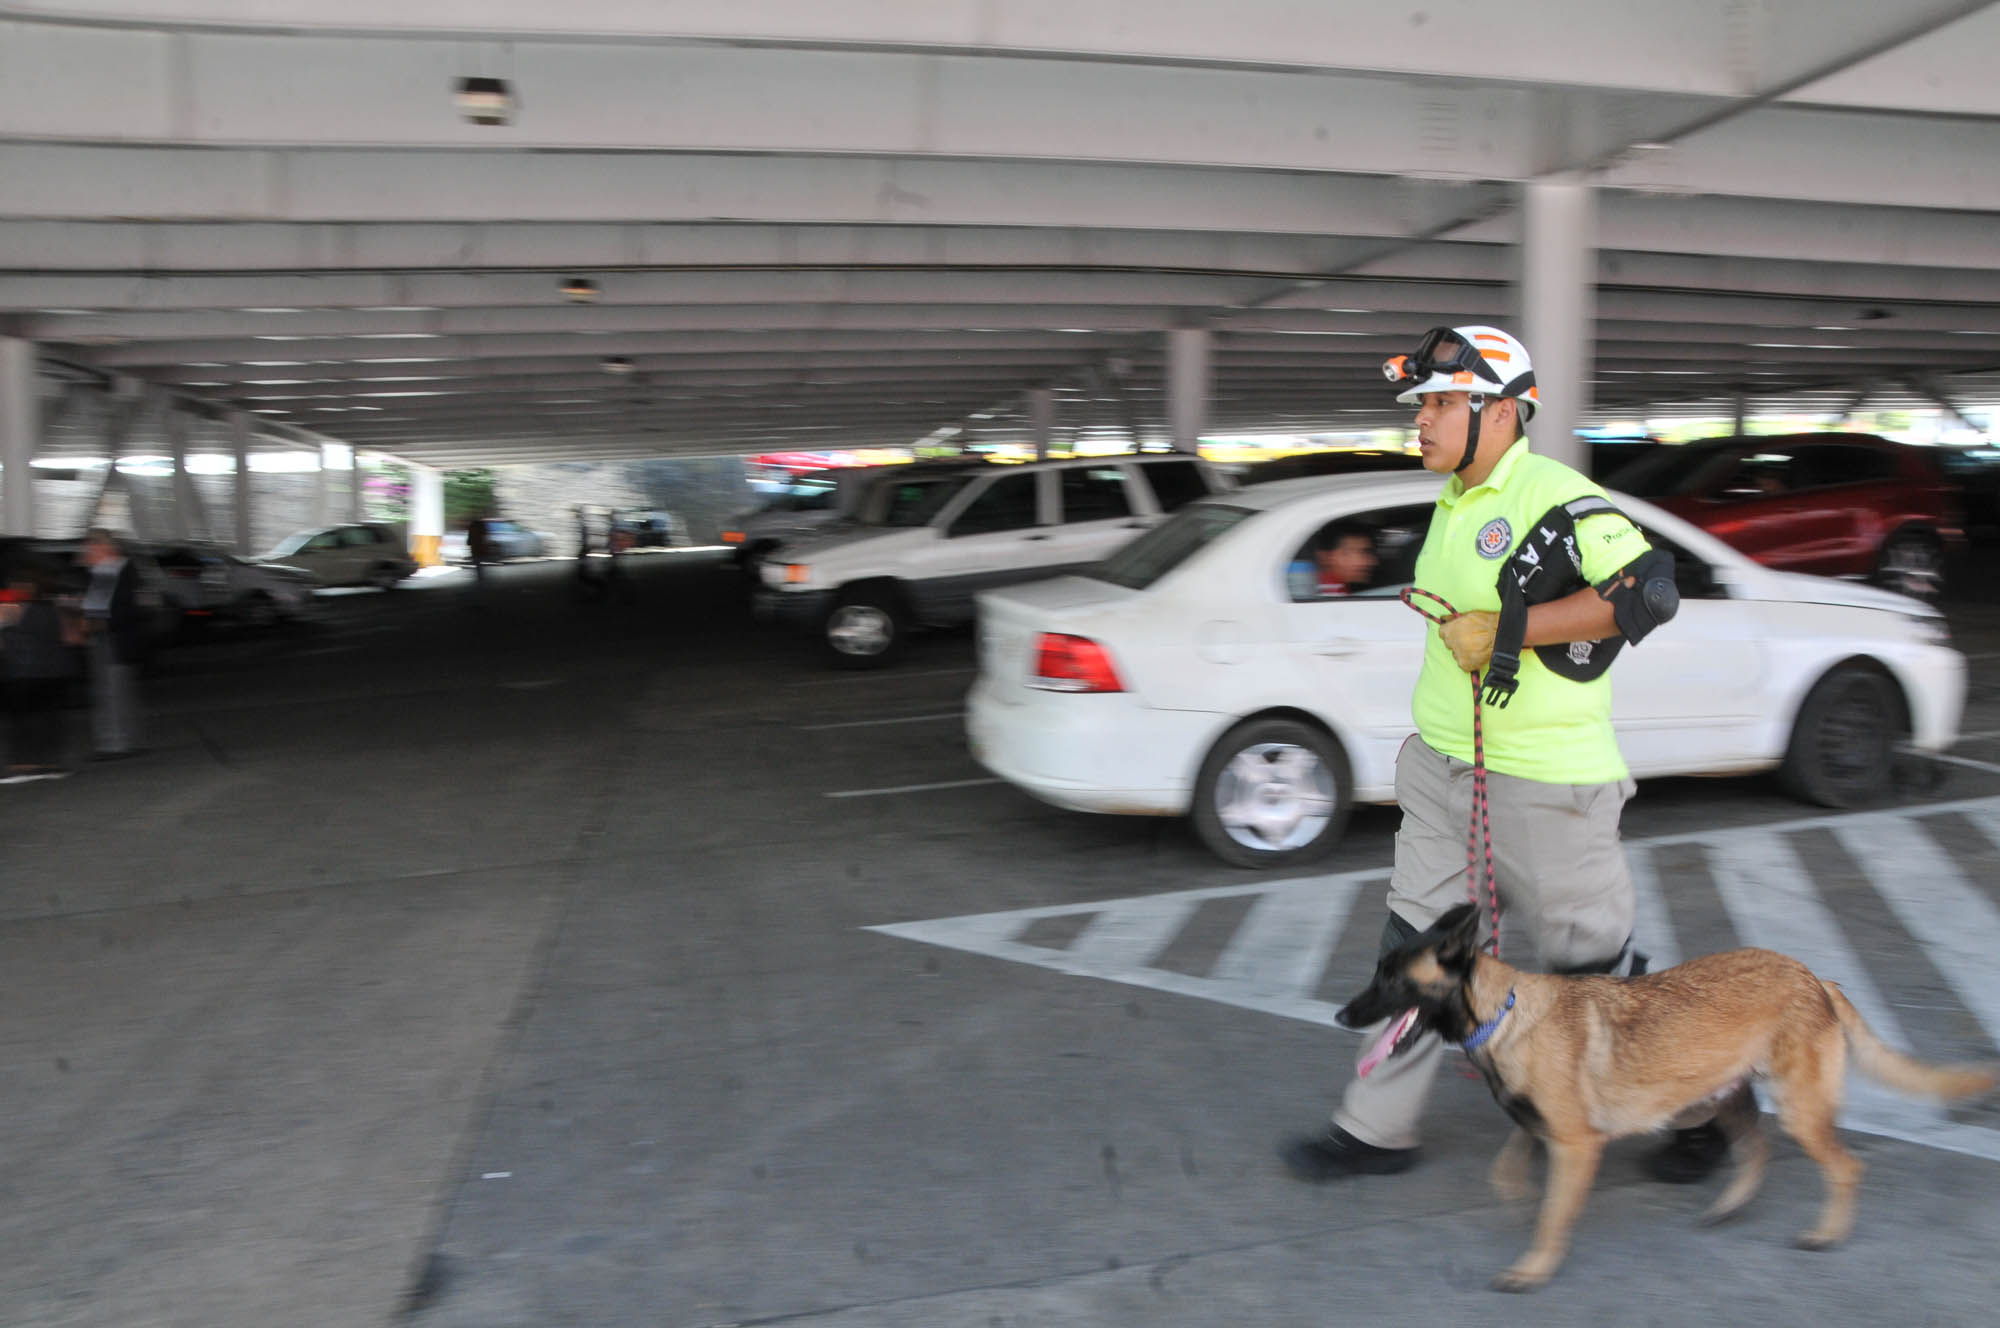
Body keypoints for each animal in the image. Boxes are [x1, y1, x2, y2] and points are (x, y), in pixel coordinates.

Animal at [1336, 904, 1992, 1288]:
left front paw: (1534, 1265)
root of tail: (1816, 979)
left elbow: (1552, 1216)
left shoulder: (1578, 1144)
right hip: (1726, 1098)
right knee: (1757, 1150)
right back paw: (1731, 1206)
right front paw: (1516, 1198)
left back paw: (1827, 1234)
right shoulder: (1545, 1129)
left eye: (1390, 978)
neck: (1505, 1012)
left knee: (1845, 1167)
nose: (1343, 1016)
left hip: (1797, 1108)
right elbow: (1510, 1167)